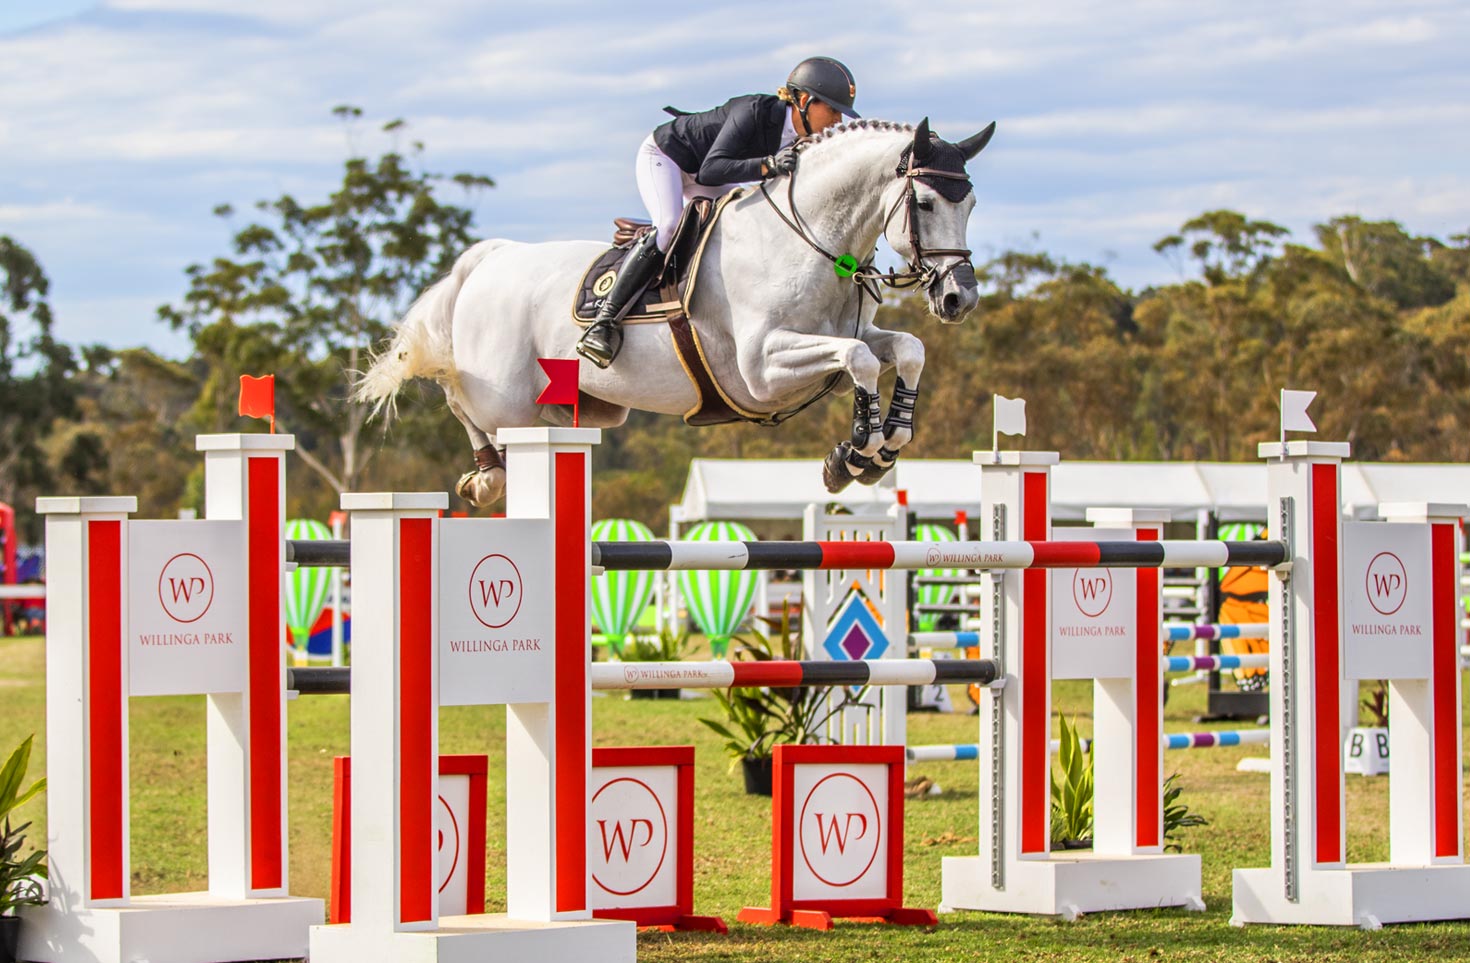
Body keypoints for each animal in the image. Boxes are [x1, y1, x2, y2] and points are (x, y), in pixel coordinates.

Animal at [355, 117, 993, 508]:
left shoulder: (837, 347)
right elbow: (859, 359)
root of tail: (491, 258)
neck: (809, 236)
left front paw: (881, 446)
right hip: (502, 395)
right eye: (926, 202)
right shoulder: (761, 370)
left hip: (578, 409)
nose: (959, 298)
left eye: (972, 205)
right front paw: (857, 451)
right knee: (457, 396)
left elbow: (905, 348)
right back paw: (486, 475)